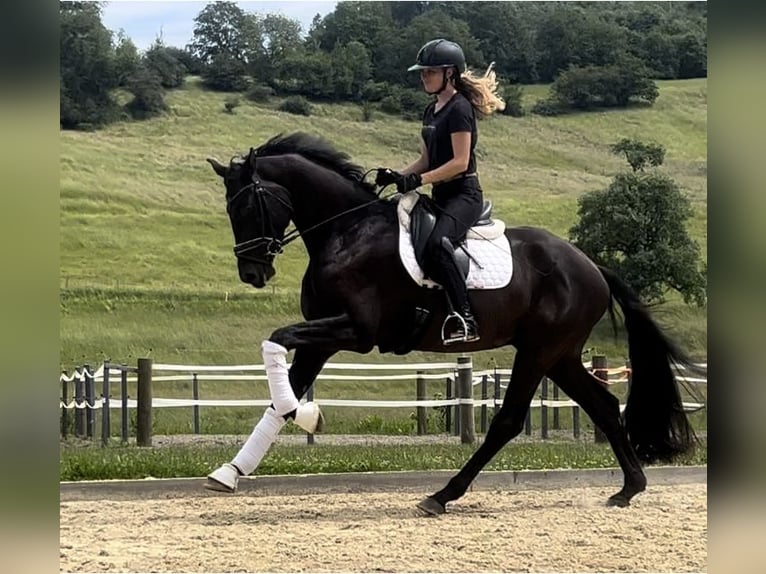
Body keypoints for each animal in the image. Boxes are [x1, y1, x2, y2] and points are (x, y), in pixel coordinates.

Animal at [207, 133, 700, 516]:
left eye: (249, 205)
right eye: (230, 210)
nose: (253, 273)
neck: (347, 232)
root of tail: (591, 266)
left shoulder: (356, 332)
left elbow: (276, 342)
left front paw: (307, 416)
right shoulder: (322, 337)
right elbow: (279, 394)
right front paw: (230, 471)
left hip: (539, 351)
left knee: (509, 420)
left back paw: (442, 496)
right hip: (559, 355)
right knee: (603, 405)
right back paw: (628, 489)